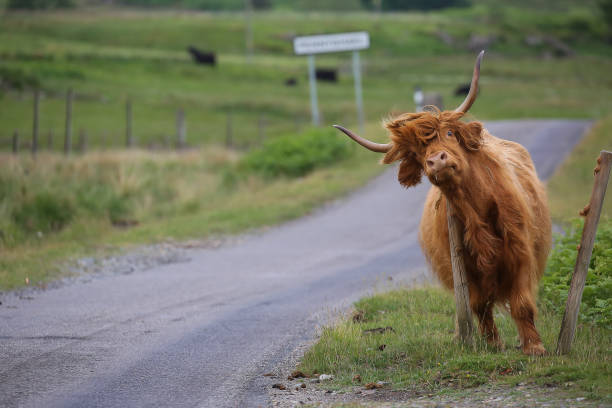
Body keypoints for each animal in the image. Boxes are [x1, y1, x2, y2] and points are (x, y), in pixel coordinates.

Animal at [332, 52, 552, 356]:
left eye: (449, 134)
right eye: (417, 151)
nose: (436, 161)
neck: (477, 209)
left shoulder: (520, 252)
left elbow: (521, 303)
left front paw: (534, 346)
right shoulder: (462, 265)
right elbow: (478, 304)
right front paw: (492, 343)